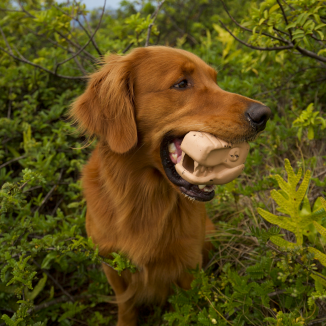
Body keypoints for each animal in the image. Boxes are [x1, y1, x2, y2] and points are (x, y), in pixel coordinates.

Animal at [70, 46, 270, 326]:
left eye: (215, 80)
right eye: (182, 83)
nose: (264, 115)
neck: (144, 199)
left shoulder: (188, 264)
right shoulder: (112, 265)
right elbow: (126, 306)